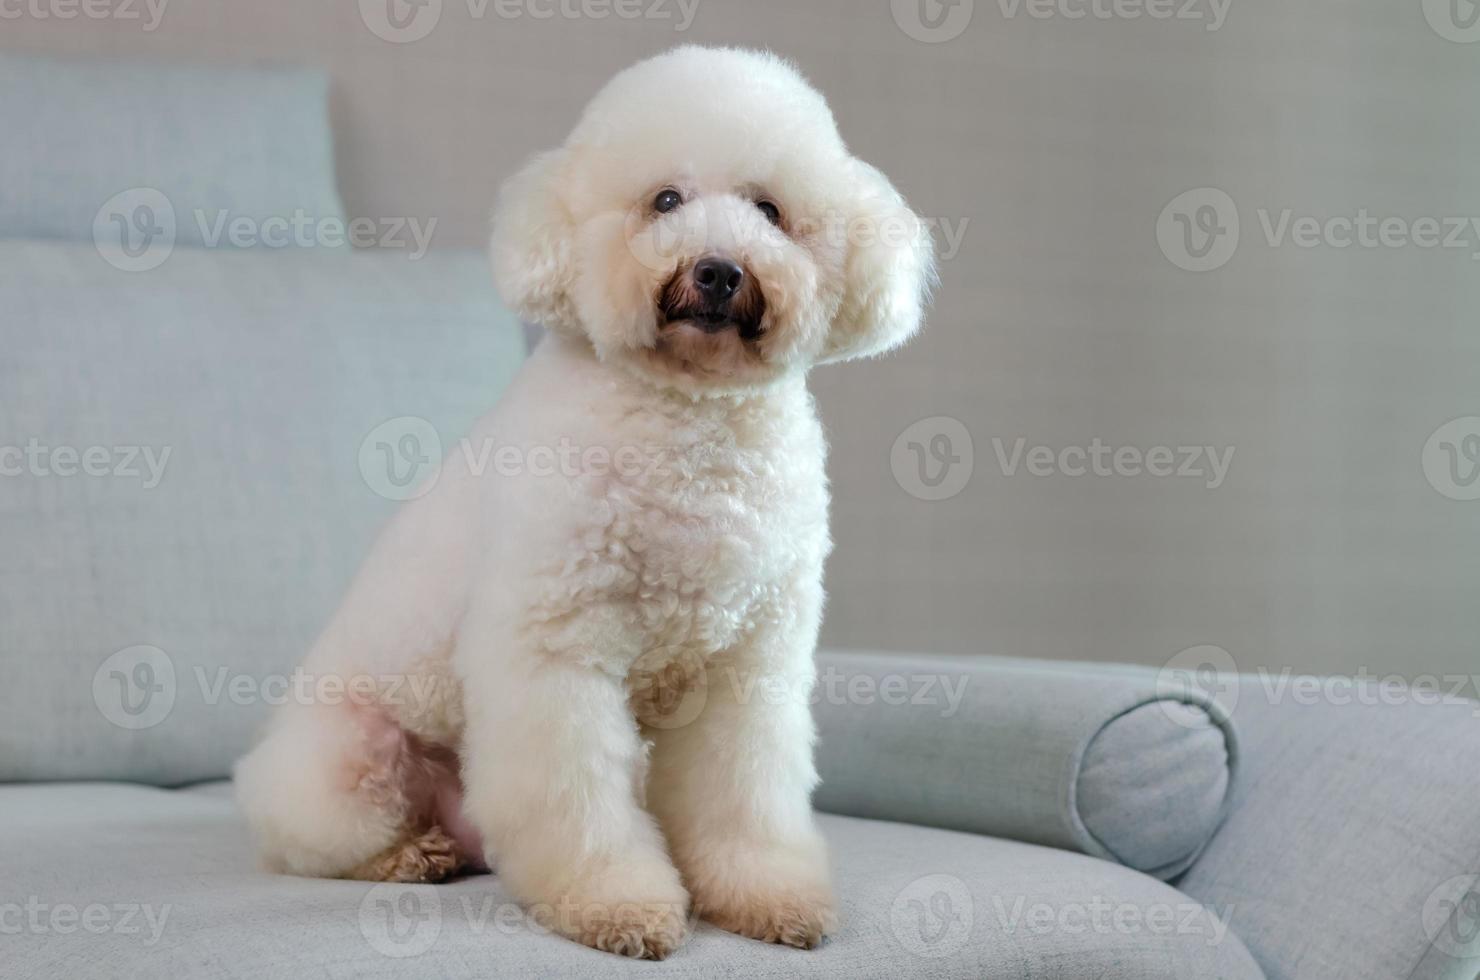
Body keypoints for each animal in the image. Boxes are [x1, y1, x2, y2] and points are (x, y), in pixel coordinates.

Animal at [235, 44, 929, 959]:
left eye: (769, 211)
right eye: (665, 201)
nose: (718, 269)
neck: (688, 423)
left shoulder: (745, 667)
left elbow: (743, 797)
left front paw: (766, 895)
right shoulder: (557, 655)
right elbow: (579, 804)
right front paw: (617, 905)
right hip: (351, 757)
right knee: (318, 842)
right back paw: (406, 857)